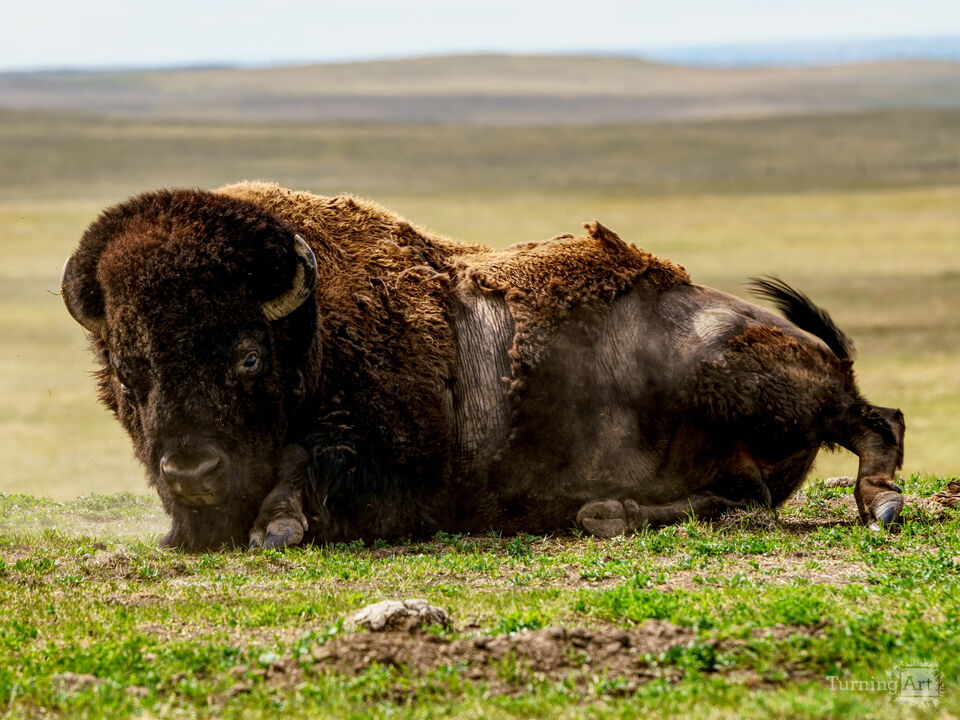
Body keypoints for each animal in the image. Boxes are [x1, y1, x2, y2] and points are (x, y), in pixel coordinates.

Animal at [61, 182, 905, 551]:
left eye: (246, 356)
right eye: (128, 372)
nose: (190, 473)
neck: (312, 329)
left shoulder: (393, 465)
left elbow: (314, 465)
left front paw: (278, 526)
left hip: (736, 377)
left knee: (875, 419)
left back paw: (883, 504)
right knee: (744, 499)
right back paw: (604, 513)